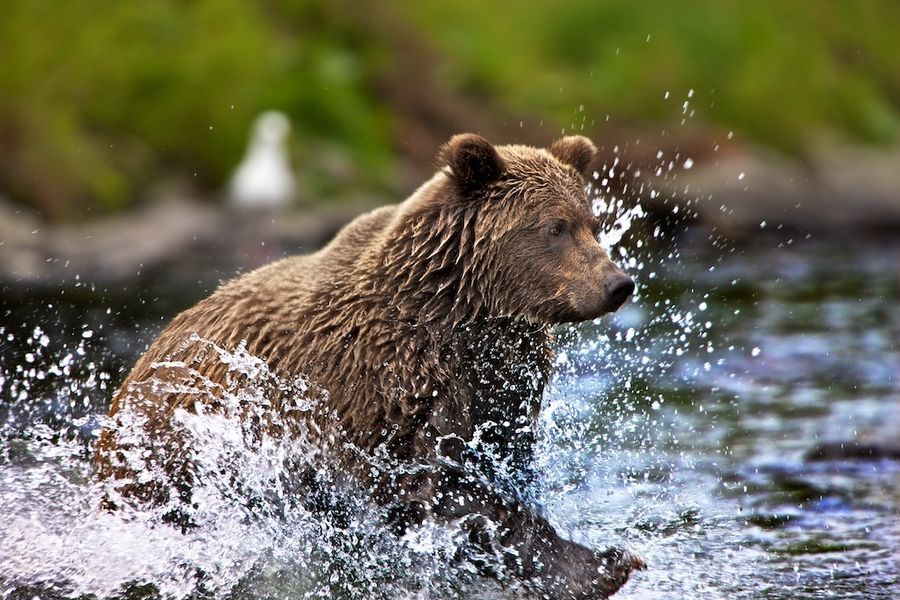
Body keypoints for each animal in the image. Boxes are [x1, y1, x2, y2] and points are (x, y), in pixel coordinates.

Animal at [96, 134, 648, 596]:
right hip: (177, 451)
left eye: (592, 225)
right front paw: (595, 563)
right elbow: (445, 489)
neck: (462, 312)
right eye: (555, 227)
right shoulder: (387, 387)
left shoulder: (500, 386)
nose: (617, 284)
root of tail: (139, 365)